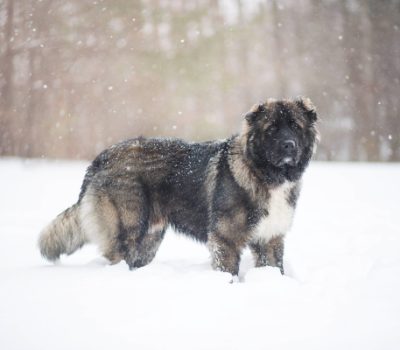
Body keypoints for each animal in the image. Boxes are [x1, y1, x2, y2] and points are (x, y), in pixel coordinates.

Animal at [38, 97, 318, 278]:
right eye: (272, 129)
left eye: (295, 126)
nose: (289, 145)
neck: (264, 174)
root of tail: (102, 157)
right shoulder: (225, 239)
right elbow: (228, 272)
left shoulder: (270, 238)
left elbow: (275, 268)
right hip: (128, 230)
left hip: (150, 239)